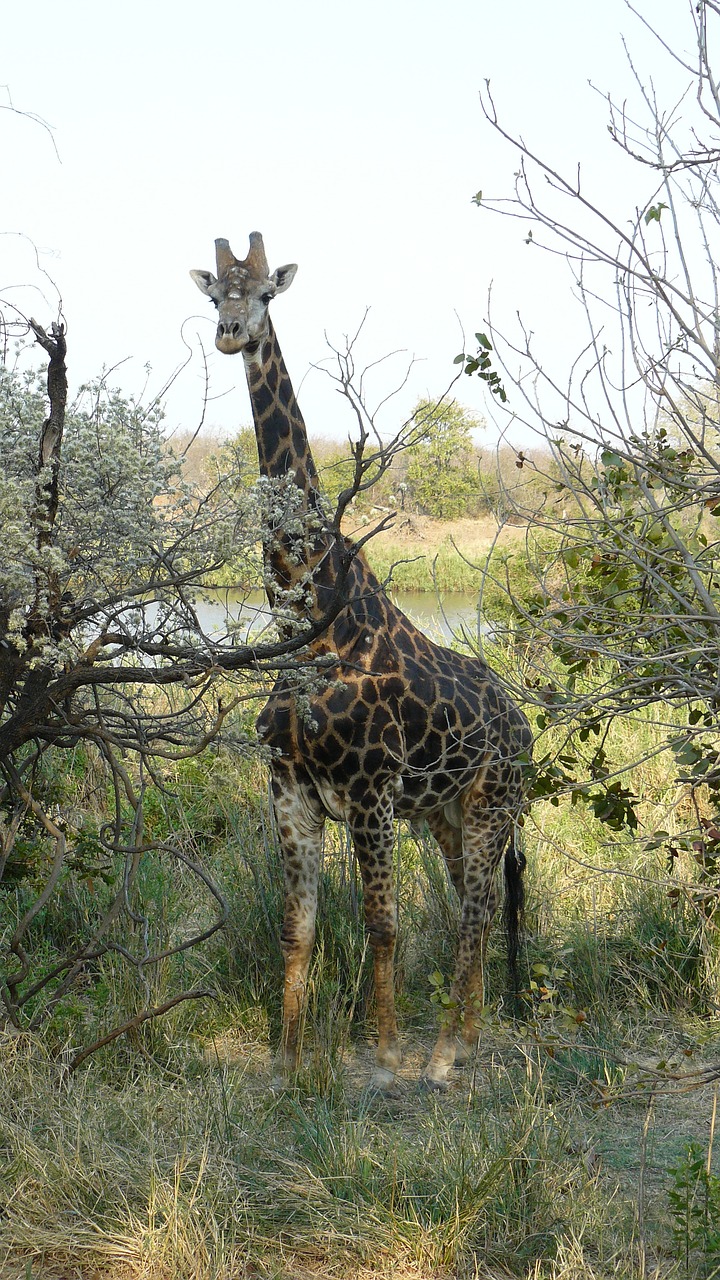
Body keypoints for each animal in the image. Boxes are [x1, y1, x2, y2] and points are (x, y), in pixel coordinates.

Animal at [188, 232, 530, 1090]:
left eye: (264, 294)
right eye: (214, 295)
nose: (231, 334)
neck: (311, 626)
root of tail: (527, 728)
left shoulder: (372, 792)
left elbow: (380, 923)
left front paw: (385, 1056)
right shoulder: (290, 790)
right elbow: (298, 930)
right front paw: (287, 1060)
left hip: (493, 802)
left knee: (479, 909)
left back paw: (443, 1057)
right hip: (447, 813)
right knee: (473, 908)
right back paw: (467, 1038)